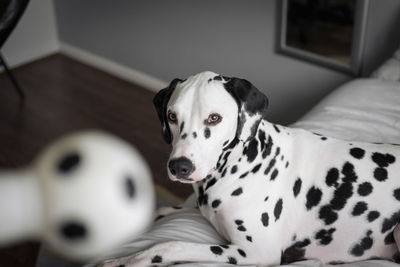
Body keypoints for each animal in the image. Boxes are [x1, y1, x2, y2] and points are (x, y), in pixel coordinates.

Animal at [101, 71, 400, 267]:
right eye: (172, 116)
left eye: (214, 117)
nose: (180, 167)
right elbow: (164, 211)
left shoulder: (256, 253)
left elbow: (168, 244)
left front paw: (127, 259)